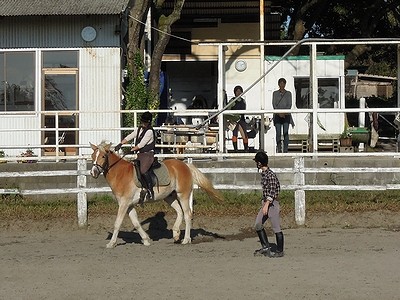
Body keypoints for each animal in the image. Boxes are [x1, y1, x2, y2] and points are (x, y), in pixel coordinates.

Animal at [88, 141, 223, 248]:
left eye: (103, 156)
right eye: (92, 156)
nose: (93, 172)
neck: (120, 174)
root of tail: (185, 165)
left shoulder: (124, 204)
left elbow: (117, 223)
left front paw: (111, 243)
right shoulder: (129, 205)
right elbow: (136, 223)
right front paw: (146, 240)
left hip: (183, 195)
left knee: (187, 214)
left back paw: (186, 239)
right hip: (169, 197)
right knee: (179, 212)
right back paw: (176, 234)